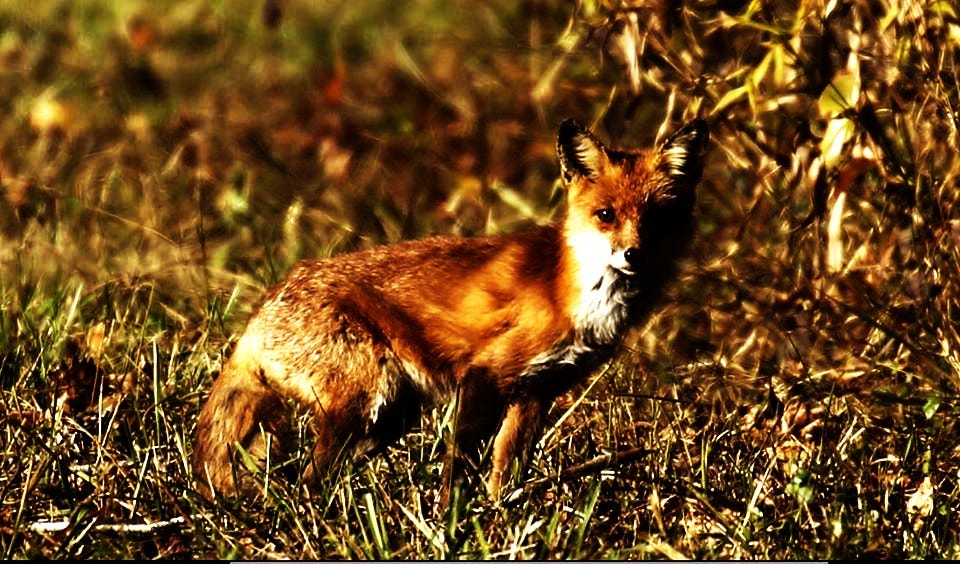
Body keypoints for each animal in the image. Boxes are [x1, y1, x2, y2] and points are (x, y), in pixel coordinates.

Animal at [193, 117, 708, 502]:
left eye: (658, 218)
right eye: (606, 215)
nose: (634, 255)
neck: (570, 292)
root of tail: (262, 310)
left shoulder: (536, 392)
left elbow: (507, 472)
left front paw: (500, 521)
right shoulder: (484, 375)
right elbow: (458, 471)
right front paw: (452, 524)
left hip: (387, 418)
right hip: (364, 402)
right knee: (308, 480)